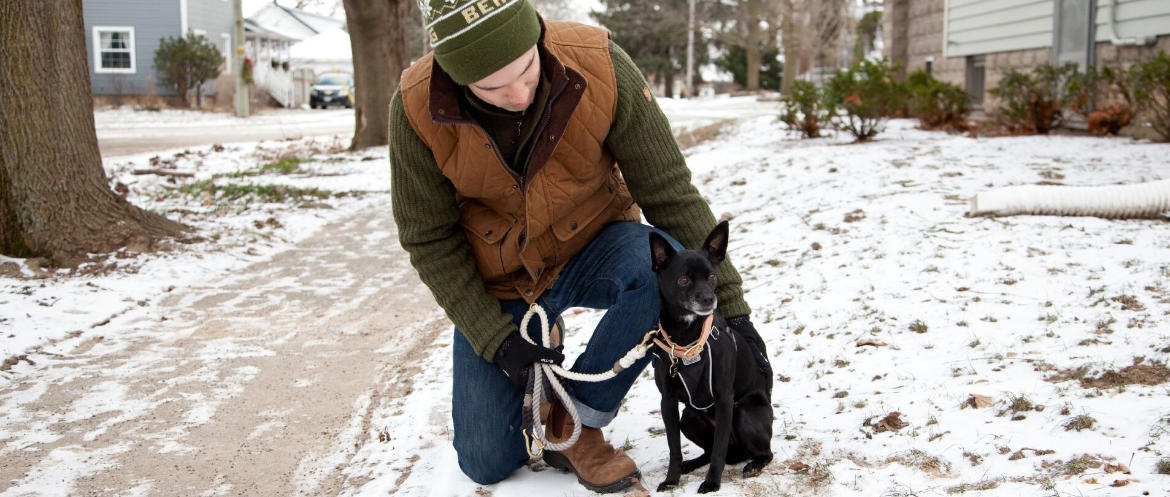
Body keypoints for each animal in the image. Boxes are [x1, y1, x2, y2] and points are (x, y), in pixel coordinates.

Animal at [645, 221, 772, 491]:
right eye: (683, 280)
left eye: (712, 277)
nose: (708, 299)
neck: (686, 339)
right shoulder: (668, 401)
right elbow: (674, 448)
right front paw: (671, 479)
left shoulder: (724, 399)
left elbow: (719, 450)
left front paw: (712, 483)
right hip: (688, 418)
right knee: (709, 450)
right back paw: (690, 464)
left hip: (743, 412)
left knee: (762, 452)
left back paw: (754, 464)